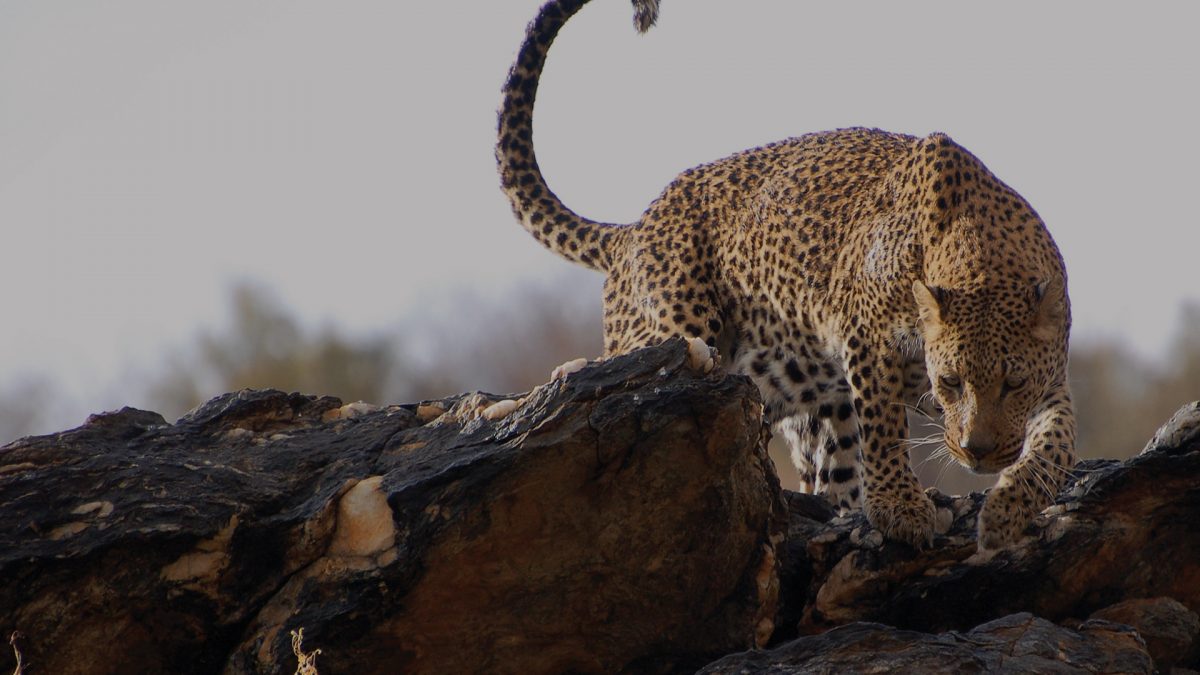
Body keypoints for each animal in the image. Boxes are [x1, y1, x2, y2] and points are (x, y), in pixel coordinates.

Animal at [496, 0, 1076, 550]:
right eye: (951, 382)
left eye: (1014, 382)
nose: (976, 452)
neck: (979, 251)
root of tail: (634, 229)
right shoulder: (866, 336)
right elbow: (884, 425)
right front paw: (900, 508)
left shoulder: (1051, 376)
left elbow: (1060, 441)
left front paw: (1008, 512)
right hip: (680, 331)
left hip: (797, 393)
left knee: (829, 472)